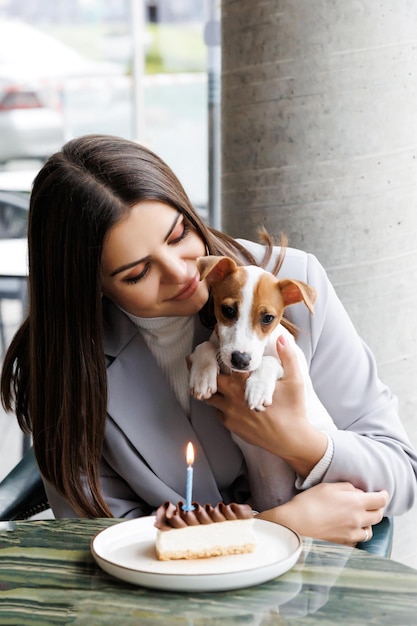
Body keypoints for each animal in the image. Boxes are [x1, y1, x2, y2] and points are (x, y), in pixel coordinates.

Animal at [188, 255, 334, 512]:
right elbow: (206, 345)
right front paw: (203, 375)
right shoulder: (218, 345)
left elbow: (269, 361)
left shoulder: (291, 366)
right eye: (228, 310)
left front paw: (257, 388)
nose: (241, 359)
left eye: (268, 318)